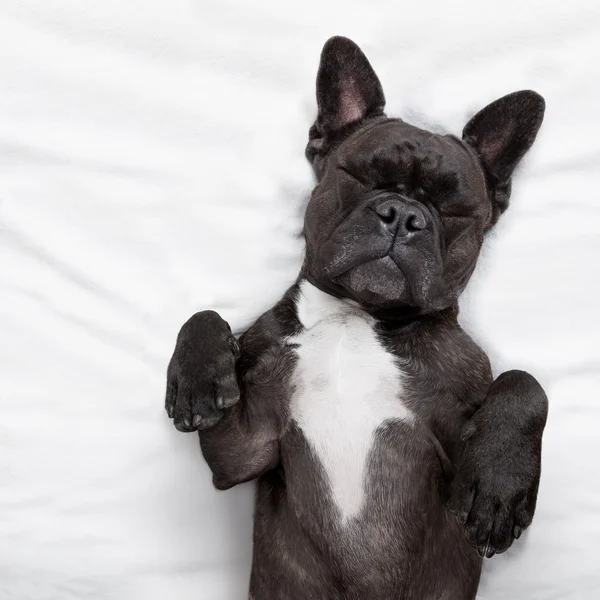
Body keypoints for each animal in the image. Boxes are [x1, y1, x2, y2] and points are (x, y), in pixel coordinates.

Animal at [164, 37, 548, 600]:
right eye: (360, 176)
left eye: (454, 209)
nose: (404, 215)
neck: (357, 317)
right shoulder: (244, 449)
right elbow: (205, 314)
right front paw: (199, 378)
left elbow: (524, 382)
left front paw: (499, 485)